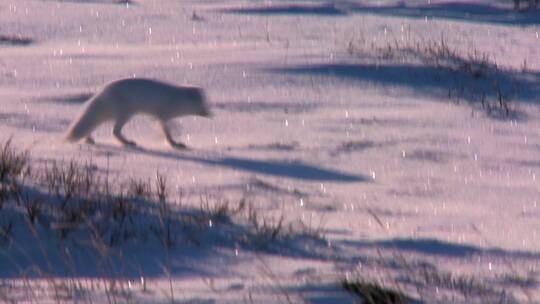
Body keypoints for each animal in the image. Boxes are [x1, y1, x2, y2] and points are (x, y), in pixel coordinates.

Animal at [63, 78, 211, 148]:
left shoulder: (161, 117)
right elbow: (167, 132)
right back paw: (128, 142)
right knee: (114, 131)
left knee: (94, 125)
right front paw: (175, 143)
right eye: (202, 105)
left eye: (206, 103)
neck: (176, 98)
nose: (210, 114)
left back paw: (89, 139)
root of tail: (102, 92)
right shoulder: (162, 115)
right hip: (125, 114)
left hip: (111, 115)